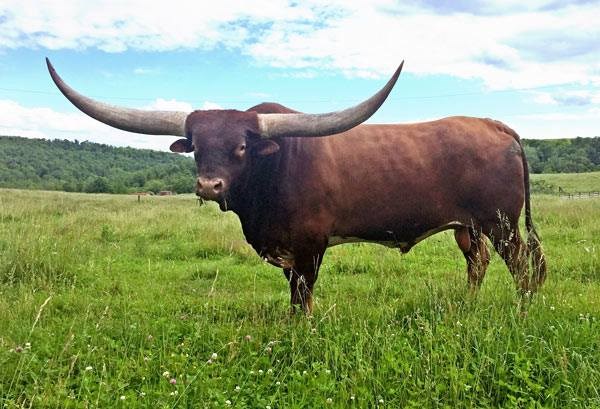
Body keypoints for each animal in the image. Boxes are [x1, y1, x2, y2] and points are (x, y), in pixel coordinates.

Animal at [46, 58, 546, 314]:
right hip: (468, 227)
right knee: (478, 263)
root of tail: (496, 125)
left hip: (501, 223)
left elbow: (302, 296)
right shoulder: (285, 248)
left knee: (521, 267)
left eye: (241, 147)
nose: (209, 185)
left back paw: (521, 312)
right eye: (196, 147)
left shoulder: (309, 246)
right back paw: (467, 306)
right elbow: (291, 294)